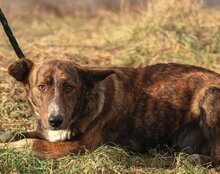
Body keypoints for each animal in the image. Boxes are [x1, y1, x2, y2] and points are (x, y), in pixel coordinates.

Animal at [0, 57, 220, 167]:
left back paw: (197, 159)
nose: (56, 120)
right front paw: (6, 136)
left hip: (209, 94)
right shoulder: (46, 131)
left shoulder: (78, 146)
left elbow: (30, 143)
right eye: (41, 87)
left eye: (69, 87)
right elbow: (19, 134)